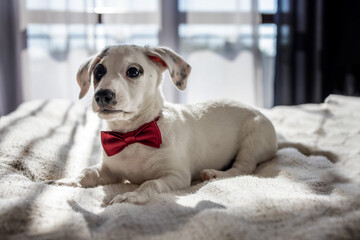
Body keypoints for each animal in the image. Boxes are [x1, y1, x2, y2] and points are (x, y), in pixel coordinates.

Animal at [52, 45, 278, 204]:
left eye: (133, 71)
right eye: (99, 71)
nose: (102, 95)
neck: (133, 134)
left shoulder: (176, 176)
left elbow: (149, 184)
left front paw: (130, 196)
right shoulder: (110, 170)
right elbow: (88, 172)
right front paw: (69, 180)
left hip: (253, 140)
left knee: (243, 167)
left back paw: (216, 173)